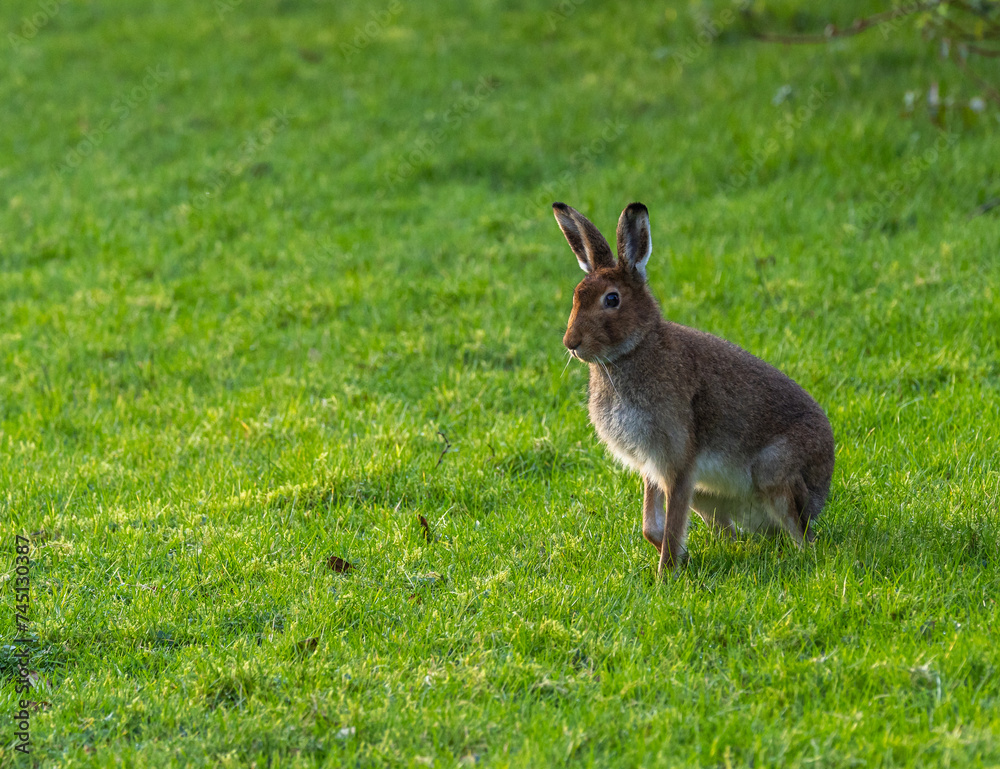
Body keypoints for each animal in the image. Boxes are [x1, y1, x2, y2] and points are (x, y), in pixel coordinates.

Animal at [553, 201, 835, 576]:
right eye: (576, 296)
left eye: (612, 299)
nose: (571, 343)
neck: (632, 352)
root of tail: (823, 488)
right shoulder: (652, 467)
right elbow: (651, 526)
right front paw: (680, 560)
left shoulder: (678, 462)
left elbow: (672, 525)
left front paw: (665, 577)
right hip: (706, 494)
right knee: (730, 532)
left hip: (776, 473)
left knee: (803, 536)